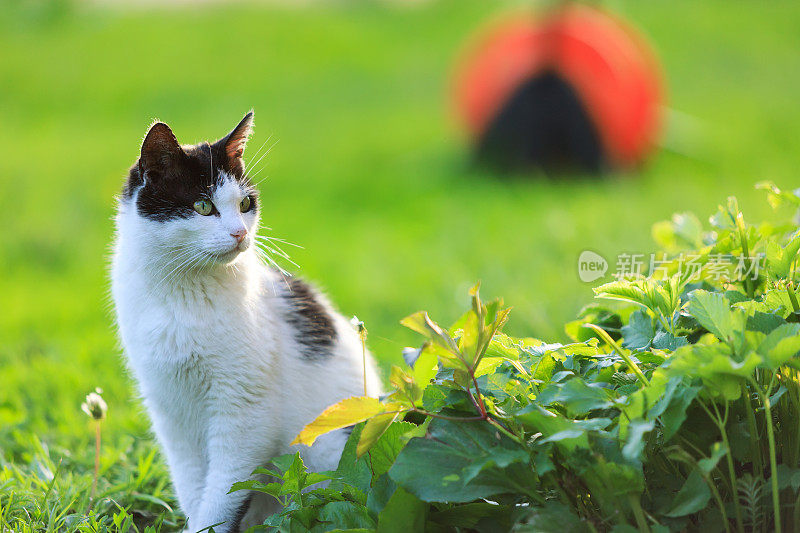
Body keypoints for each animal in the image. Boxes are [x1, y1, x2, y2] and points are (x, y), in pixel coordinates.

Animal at [110, 110, 382, 528]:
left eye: (245, 203)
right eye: (203, 206)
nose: (240, 233)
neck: (183, 293)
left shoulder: (245, 413)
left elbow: (223, 492)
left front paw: (206, 527)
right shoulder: (170, 412)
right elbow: (192, 484)